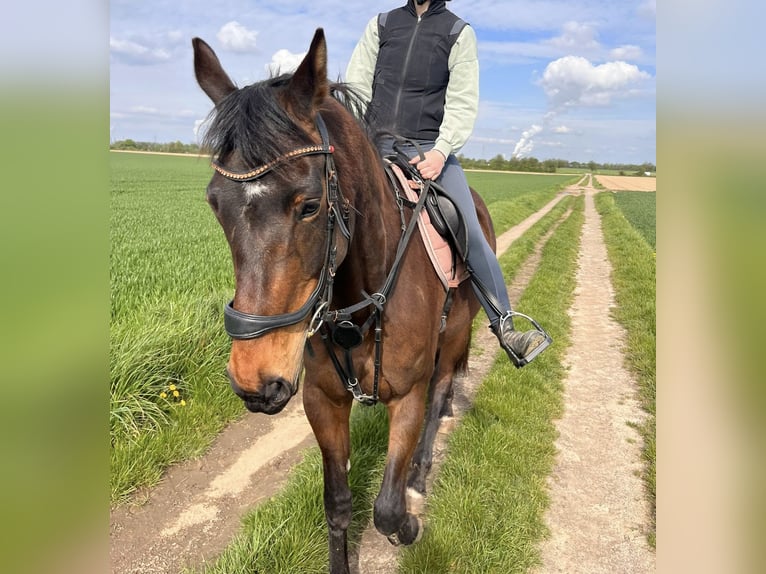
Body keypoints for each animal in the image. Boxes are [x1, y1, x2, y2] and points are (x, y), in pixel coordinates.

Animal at [195, 28, 496, 574]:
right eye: (215, 203)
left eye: (310, 205)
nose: (255, 378)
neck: (360, 303)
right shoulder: (323, 400)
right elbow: (337, 504)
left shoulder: (407, 395)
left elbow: (387, 507)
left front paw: (410, 522)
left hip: (455, 337)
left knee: (442, 394)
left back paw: (420, 477)